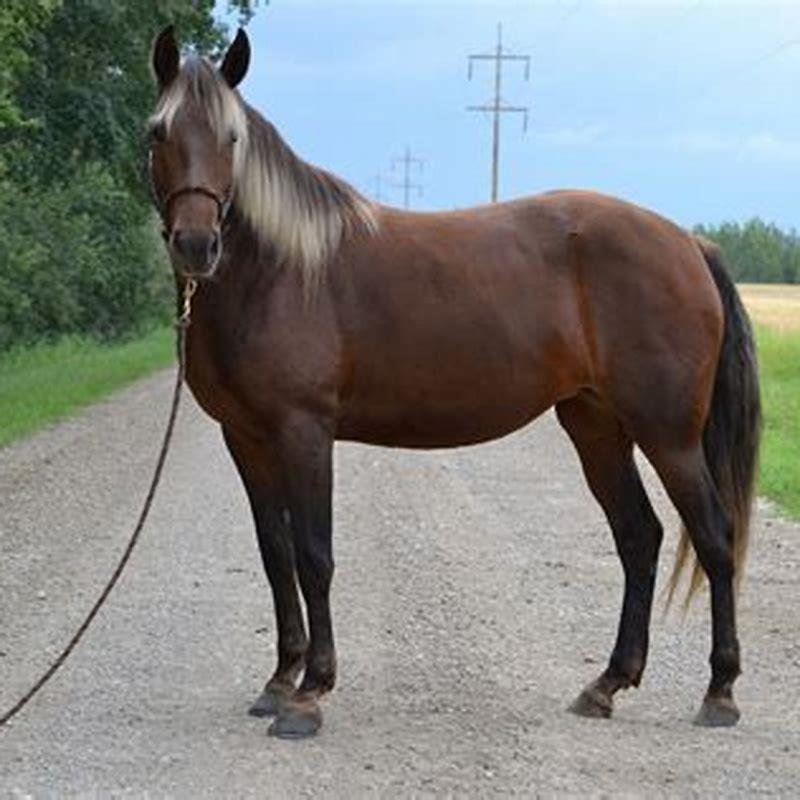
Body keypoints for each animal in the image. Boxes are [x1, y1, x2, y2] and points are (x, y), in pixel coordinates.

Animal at [147, 26, 760, 739]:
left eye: (232, 138)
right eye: (158, 131)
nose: (197, 245)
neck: (282, 271)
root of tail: (689, 244)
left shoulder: (305, 431)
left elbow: (314, 554)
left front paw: (309, 693)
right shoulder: (245, 438)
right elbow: (276, 555)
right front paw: (279, 682)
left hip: (669, 436)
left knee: (714, 538)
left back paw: (719, 692)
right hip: (597, 427)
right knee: (639, 538)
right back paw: (606, 684)